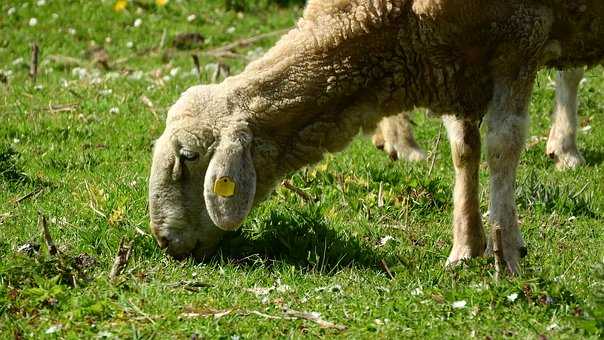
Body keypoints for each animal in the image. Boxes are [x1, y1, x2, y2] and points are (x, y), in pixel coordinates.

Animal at [147, 1, 604, 274]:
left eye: (187, 156)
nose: (165, 242)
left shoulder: (520, 39)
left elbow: (502, 147)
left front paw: (506, 254)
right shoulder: (455, 64)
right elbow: (463, 151)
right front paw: (464, 248)